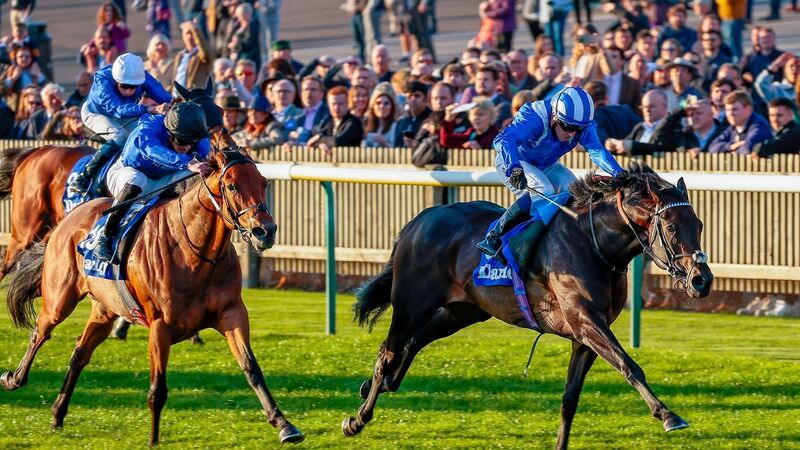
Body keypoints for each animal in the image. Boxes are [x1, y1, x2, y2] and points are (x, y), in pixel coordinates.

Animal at [0, 80, 230, 284]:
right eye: (204, 112)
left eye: (220, 110)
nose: (227, 147)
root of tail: (31, 153)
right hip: (26, 230)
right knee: (7, 262)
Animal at [1, 148, 304, 445]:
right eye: (231, 185)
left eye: (263, 182)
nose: (265, 231)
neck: (194, 252)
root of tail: (71, 218)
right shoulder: (160, 326)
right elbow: (158, 388)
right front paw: (154, 439)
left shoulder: (232, 313)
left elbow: (252, 368)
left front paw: (284, 425)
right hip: (58, 296)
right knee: (40, 332)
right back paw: (13, 378)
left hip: (104, 309)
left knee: (79, 354)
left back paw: (57, 414)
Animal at [342, 163, 713, 449]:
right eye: (671, 227)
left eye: (699, 225)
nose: (702, 280)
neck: (593, 245)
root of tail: (420, 220)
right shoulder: (585, 320)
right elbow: (629, 365)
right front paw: (669, 416)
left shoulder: (586, 335)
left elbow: (570, 399)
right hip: (411, 302)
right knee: (388, 351)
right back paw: (357, 419)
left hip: (464, 310)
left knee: (414, 342)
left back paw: (377, 385)